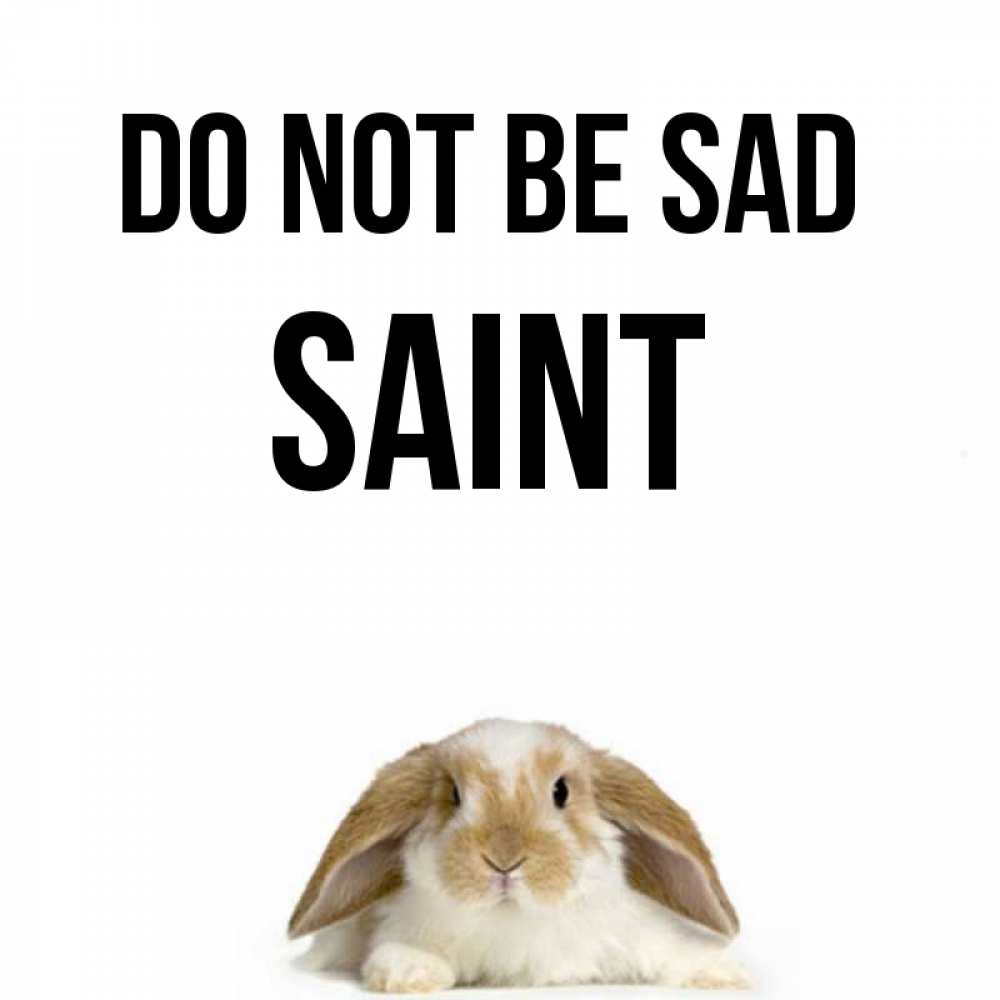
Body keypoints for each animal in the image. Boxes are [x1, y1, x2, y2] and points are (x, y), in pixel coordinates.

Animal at [288, 719, 750, 991]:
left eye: (561, 791)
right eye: (453, 795)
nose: (504, 859)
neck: (514, 919)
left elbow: (674, 950)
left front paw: (725, 973)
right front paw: (410, 973)